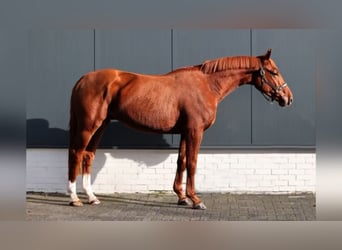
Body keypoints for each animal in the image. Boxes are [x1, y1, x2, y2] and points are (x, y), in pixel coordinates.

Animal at [68, 48, 292, 209]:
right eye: (274, 72)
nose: (288, 98)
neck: (207, 85)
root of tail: (83, 79)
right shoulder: (195, 131)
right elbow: (192, 163)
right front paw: (196, 200)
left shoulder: (185, 131)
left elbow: (181, 161)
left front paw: (181, 197)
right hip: (89, 126)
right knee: (77, 153)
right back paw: (74, 198)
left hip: (101, 126)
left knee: (88, 156)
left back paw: (91, 197)